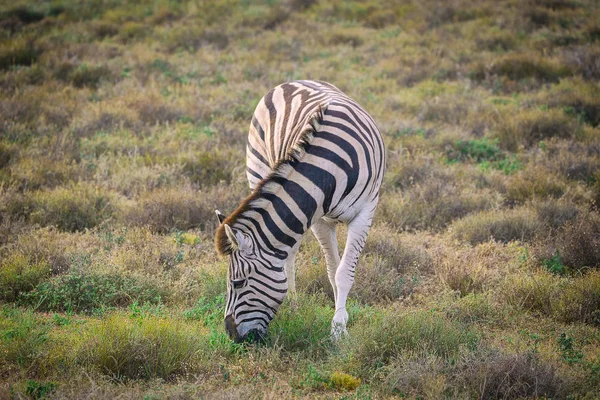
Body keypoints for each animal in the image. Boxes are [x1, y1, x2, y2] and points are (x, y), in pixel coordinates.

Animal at [214, 79, 384, 342]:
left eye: (238, 283)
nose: (231, 336)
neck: (326, 168)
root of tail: (293, 81)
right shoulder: (319, 219)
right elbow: (332, 270)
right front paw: (339, 321)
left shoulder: (364, 214)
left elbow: (343, 273)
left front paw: (339, 328)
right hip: (257, 170)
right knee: (289, 255)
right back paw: (293, 305)